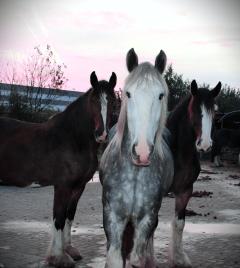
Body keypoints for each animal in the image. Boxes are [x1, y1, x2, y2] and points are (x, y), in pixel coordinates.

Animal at [0, 71, 117, 268]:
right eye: (94, 100)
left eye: (113, 101)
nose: (101, 134)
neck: (72, 139)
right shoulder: (62, 186)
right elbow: (59, 218)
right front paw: (58, 257)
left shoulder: (78, 187)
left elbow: (69, 215)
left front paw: (69, 250)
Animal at [100, 49, 174, 266]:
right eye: (128, 94)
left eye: (160, 95)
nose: (142, 152)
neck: (134, 173)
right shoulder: (112, 216)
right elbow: (115, 258)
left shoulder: (147, 218)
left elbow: (137, 258)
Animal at [167, 80, 221, 266]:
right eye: (195, 110)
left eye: (214, 112)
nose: (204, 145)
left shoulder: (185, 191)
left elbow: (179, 224)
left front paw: (179, 258)